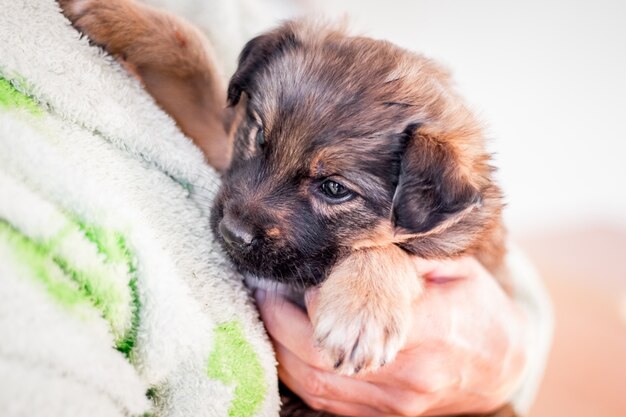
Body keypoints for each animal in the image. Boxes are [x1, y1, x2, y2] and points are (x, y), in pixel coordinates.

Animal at [59, 1, 512, 414]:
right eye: (259, 135)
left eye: (334, 188)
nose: (232, 235)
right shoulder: (217, 139)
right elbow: (192, 50)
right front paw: (116, 15)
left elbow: (386, 249)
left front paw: (363, 310)